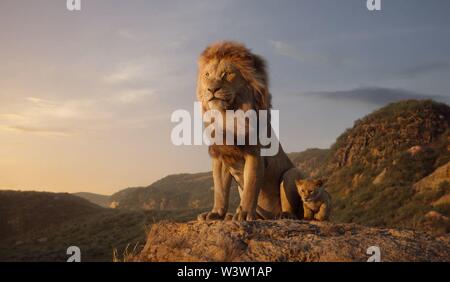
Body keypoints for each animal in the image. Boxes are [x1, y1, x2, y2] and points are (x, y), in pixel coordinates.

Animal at [197, 40, 302, 220]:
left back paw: (284, 216)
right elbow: (220, 190)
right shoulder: (221, 157)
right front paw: (216, 213)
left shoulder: (255, 155)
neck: (227, 116)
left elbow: (251, 187)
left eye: (227, 74)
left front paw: (244, 214)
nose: (211, 89)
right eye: (207, 75)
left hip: (291, 174)